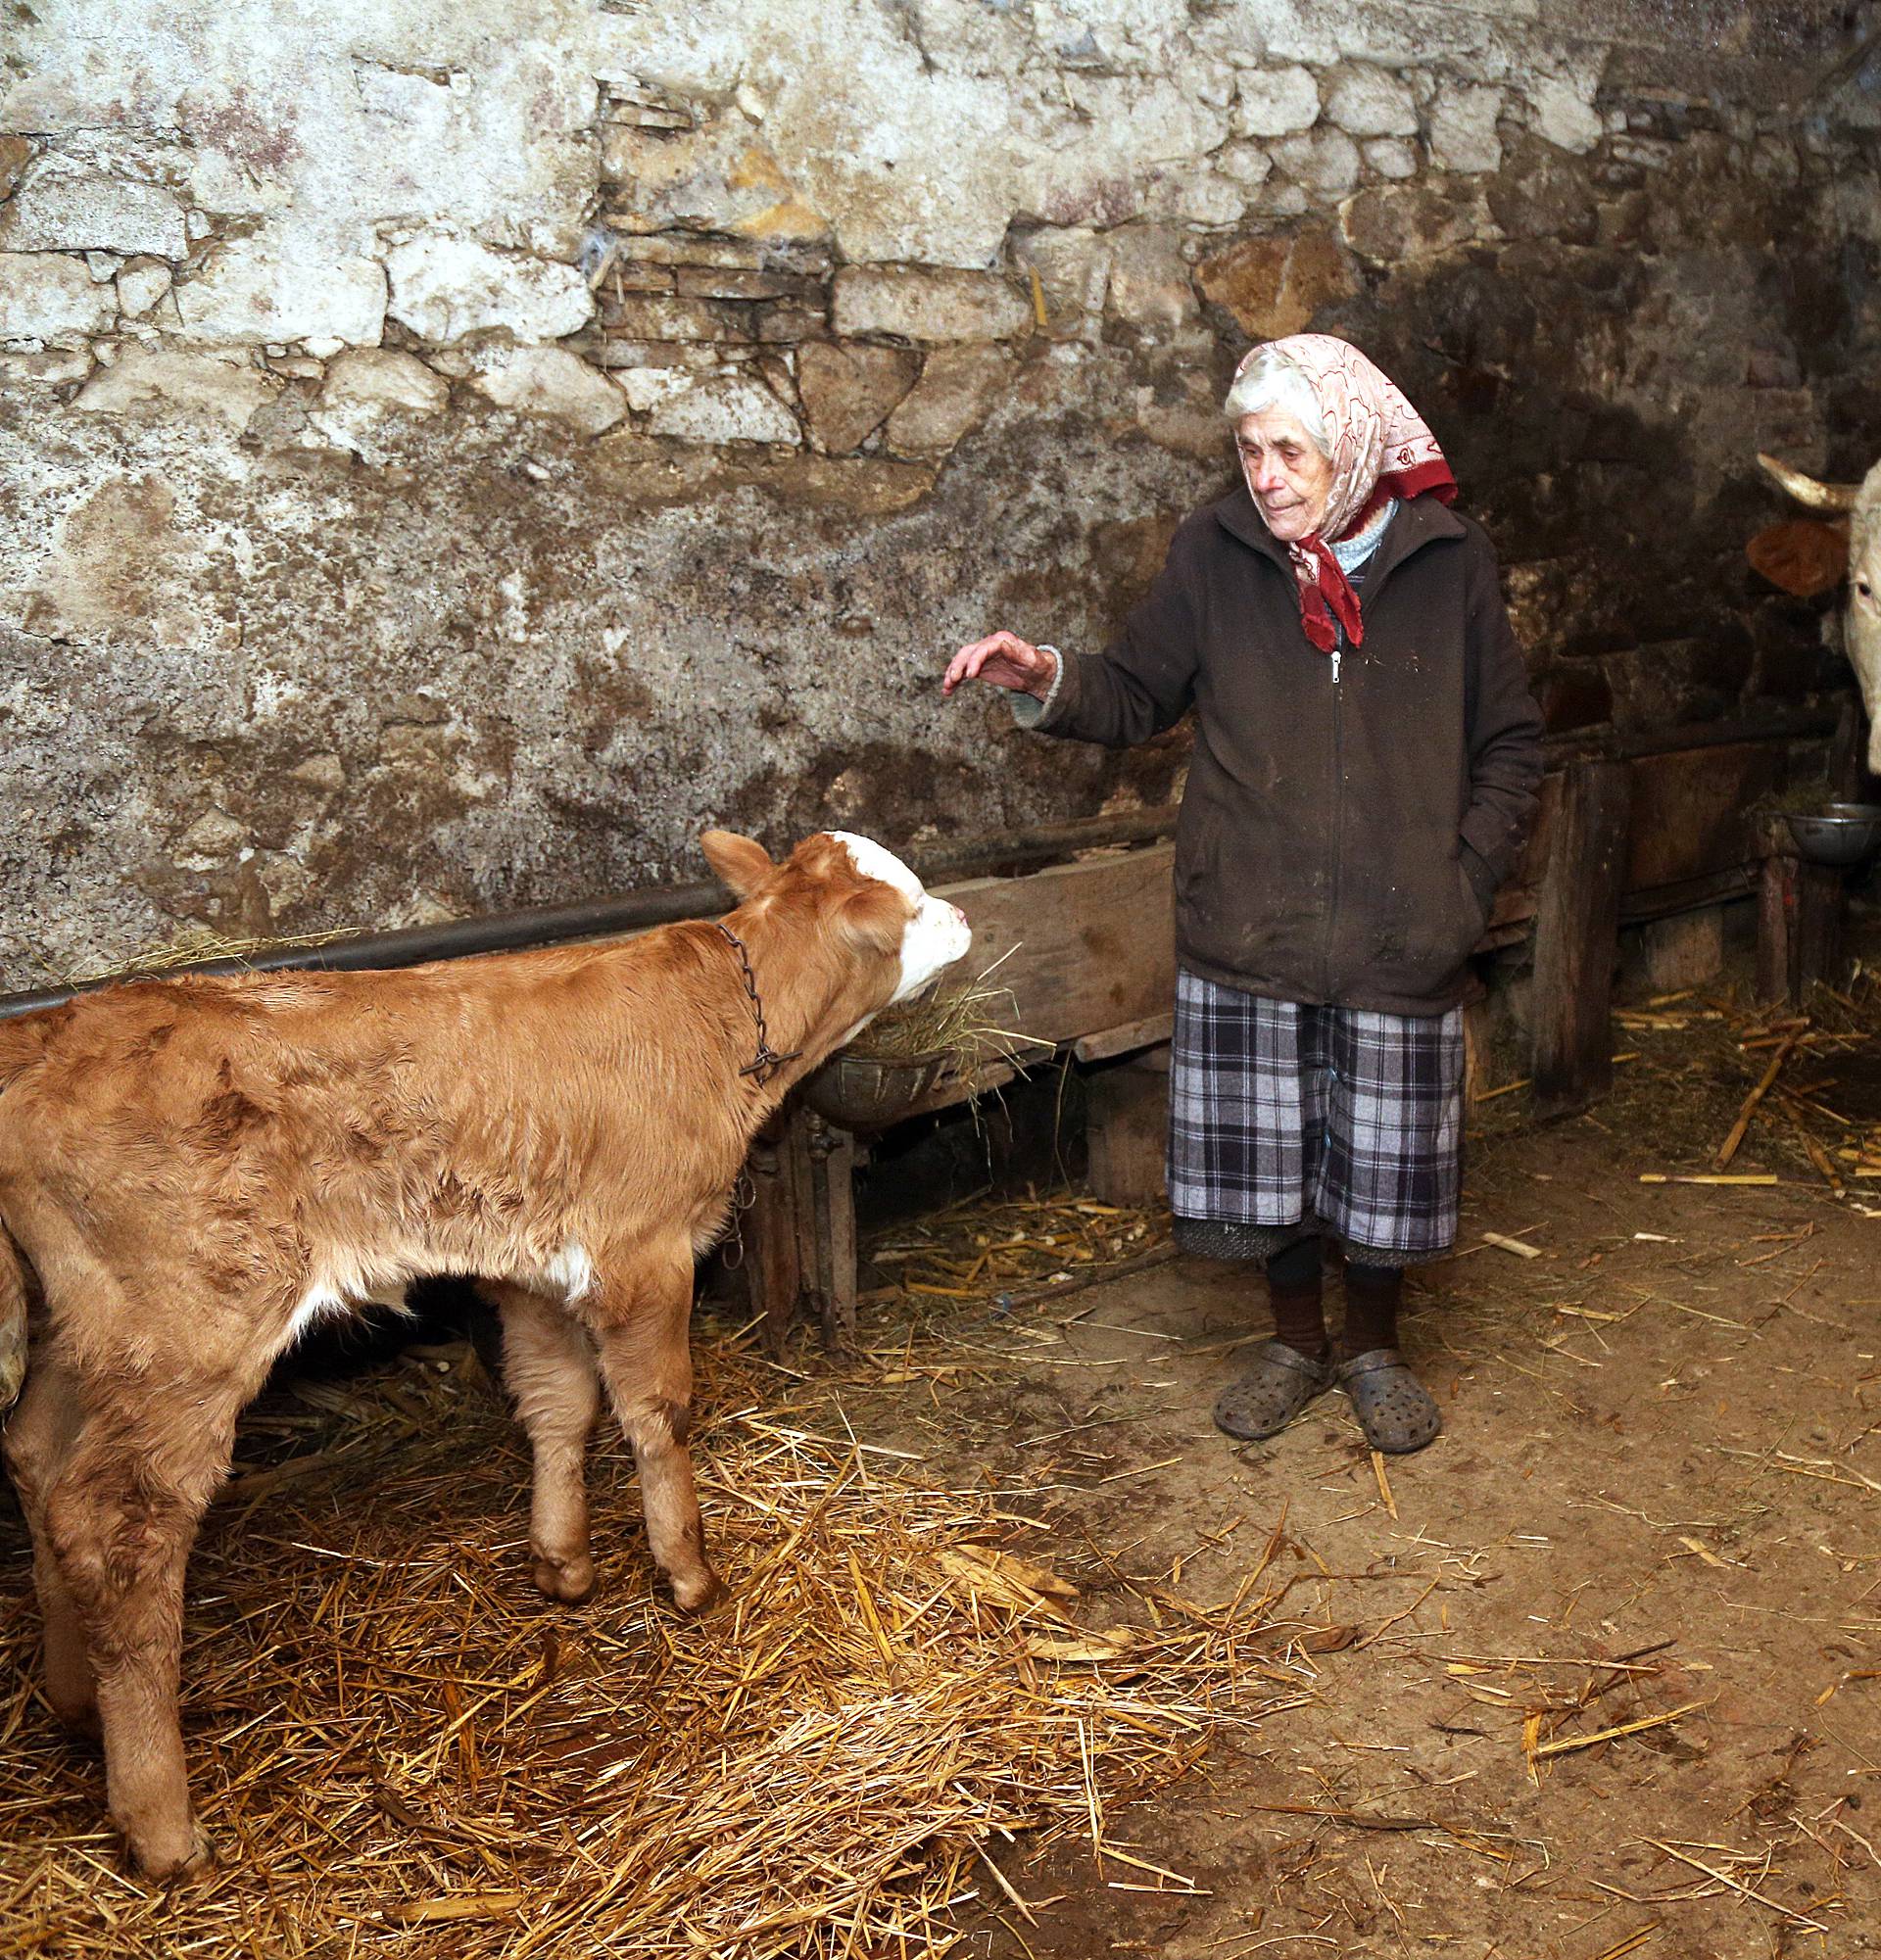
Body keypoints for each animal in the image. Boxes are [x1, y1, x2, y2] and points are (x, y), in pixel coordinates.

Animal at [0, 827, 972, 1865]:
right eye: (912, 902)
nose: (962, 915)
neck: (716, 1018)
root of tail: (57, 1037)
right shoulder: (645, 1252)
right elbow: (656, 1413)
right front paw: (688, 1573)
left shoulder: (536, 1270)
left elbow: (558, 1404)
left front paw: (563, 1562)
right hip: (189, 1325)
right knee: (120, 1527)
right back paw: (161, 1822)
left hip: (97, 1331)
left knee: (41, 1463)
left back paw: (75, 1706)